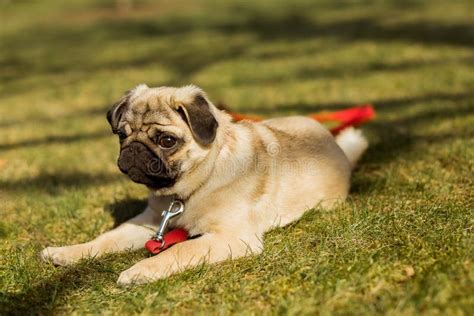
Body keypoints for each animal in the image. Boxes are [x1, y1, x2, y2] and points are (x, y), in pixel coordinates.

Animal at [40, 84, 368, 286]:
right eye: (122, 135)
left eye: (166, 141)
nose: (133, 150)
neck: (189, 191)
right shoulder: (149, 223)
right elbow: (106, 239)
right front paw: (68, 252)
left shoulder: (230, 237)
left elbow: (178, 251)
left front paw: (140, 270)